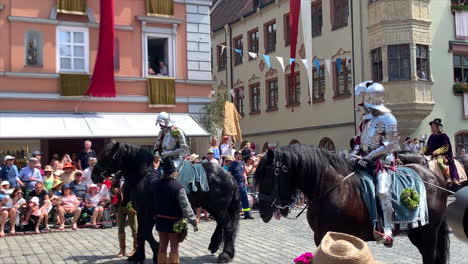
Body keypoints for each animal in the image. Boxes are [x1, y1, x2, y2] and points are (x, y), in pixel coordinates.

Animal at [91, 142, 239, 264]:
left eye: (112, 155)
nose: (94, 176)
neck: (144, 176)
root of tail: (228, 175)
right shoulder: (141, 212)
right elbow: (140, 233)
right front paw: (138, 256)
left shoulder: (150, 213)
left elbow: (146, 232)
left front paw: (156, 253)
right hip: (212, 207)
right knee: (221, 225)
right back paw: (215, 246)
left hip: (219, 208)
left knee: (228, 226)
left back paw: (225, 255)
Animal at [256, 144, 450, 264]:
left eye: (267, 175)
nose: (263, 212)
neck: (331, 188)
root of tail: (435, 177)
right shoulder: (320, 237)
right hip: (417, 231)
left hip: (429, 231)